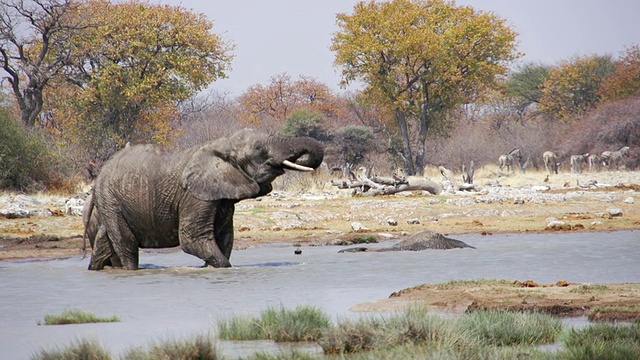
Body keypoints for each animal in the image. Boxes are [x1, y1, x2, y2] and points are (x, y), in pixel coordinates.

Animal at [84, 129, 324, 270]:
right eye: (258, 149)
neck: (221, 145)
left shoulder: (222, 196)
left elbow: (224, 237)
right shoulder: (194, 195)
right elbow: (193, 239)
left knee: (107, 243)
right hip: (110, 199)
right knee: (126, 245)